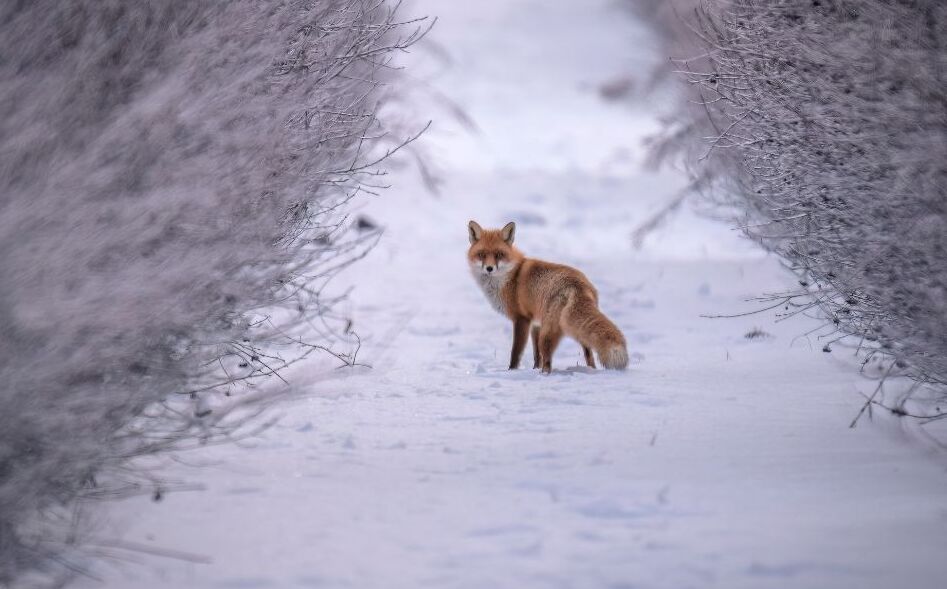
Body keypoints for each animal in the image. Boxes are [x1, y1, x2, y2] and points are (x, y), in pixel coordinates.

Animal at [468, 220, 628, 372]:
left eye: (499, 254)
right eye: (481, 254)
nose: (489, 268)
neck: (510, 276)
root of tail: (579, 284)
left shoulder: (521, 319)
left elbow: (516, 353)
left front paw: (511, 371)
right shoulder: (535, 323)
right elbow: (536, 355)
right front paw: (534, 369)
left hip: (548, 333)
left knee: (548, 361)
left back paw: (544, 374)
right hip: (573, 329)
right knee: (589, 356)